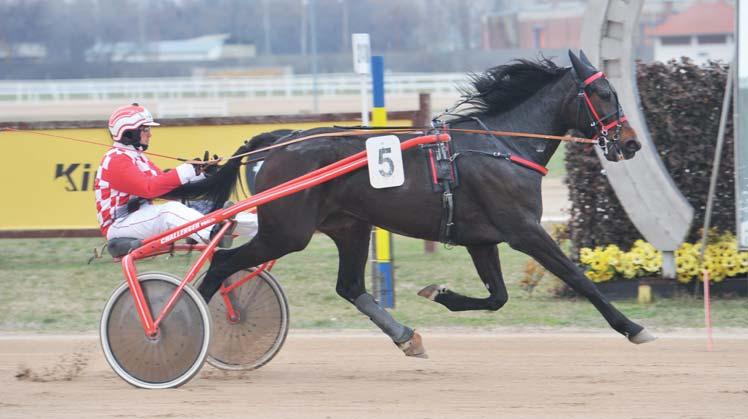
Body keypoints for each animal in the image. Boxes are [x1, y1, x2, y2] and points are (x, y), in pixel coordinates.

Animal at [181, 50, 656, 356]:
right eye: (605, 94)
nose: (631, 142)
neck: (504, 147)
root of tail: (280, 139)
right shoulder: (524, 231)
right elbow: (578, 277)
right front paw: (633, 327)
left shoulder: (481, 239)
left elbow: (497, 297)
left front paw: (439, 293)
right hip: (288, 232)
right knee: (222, 263)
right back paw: (188, 327)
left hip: (349, 226)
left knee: (349, 286)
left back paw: (406, 337)